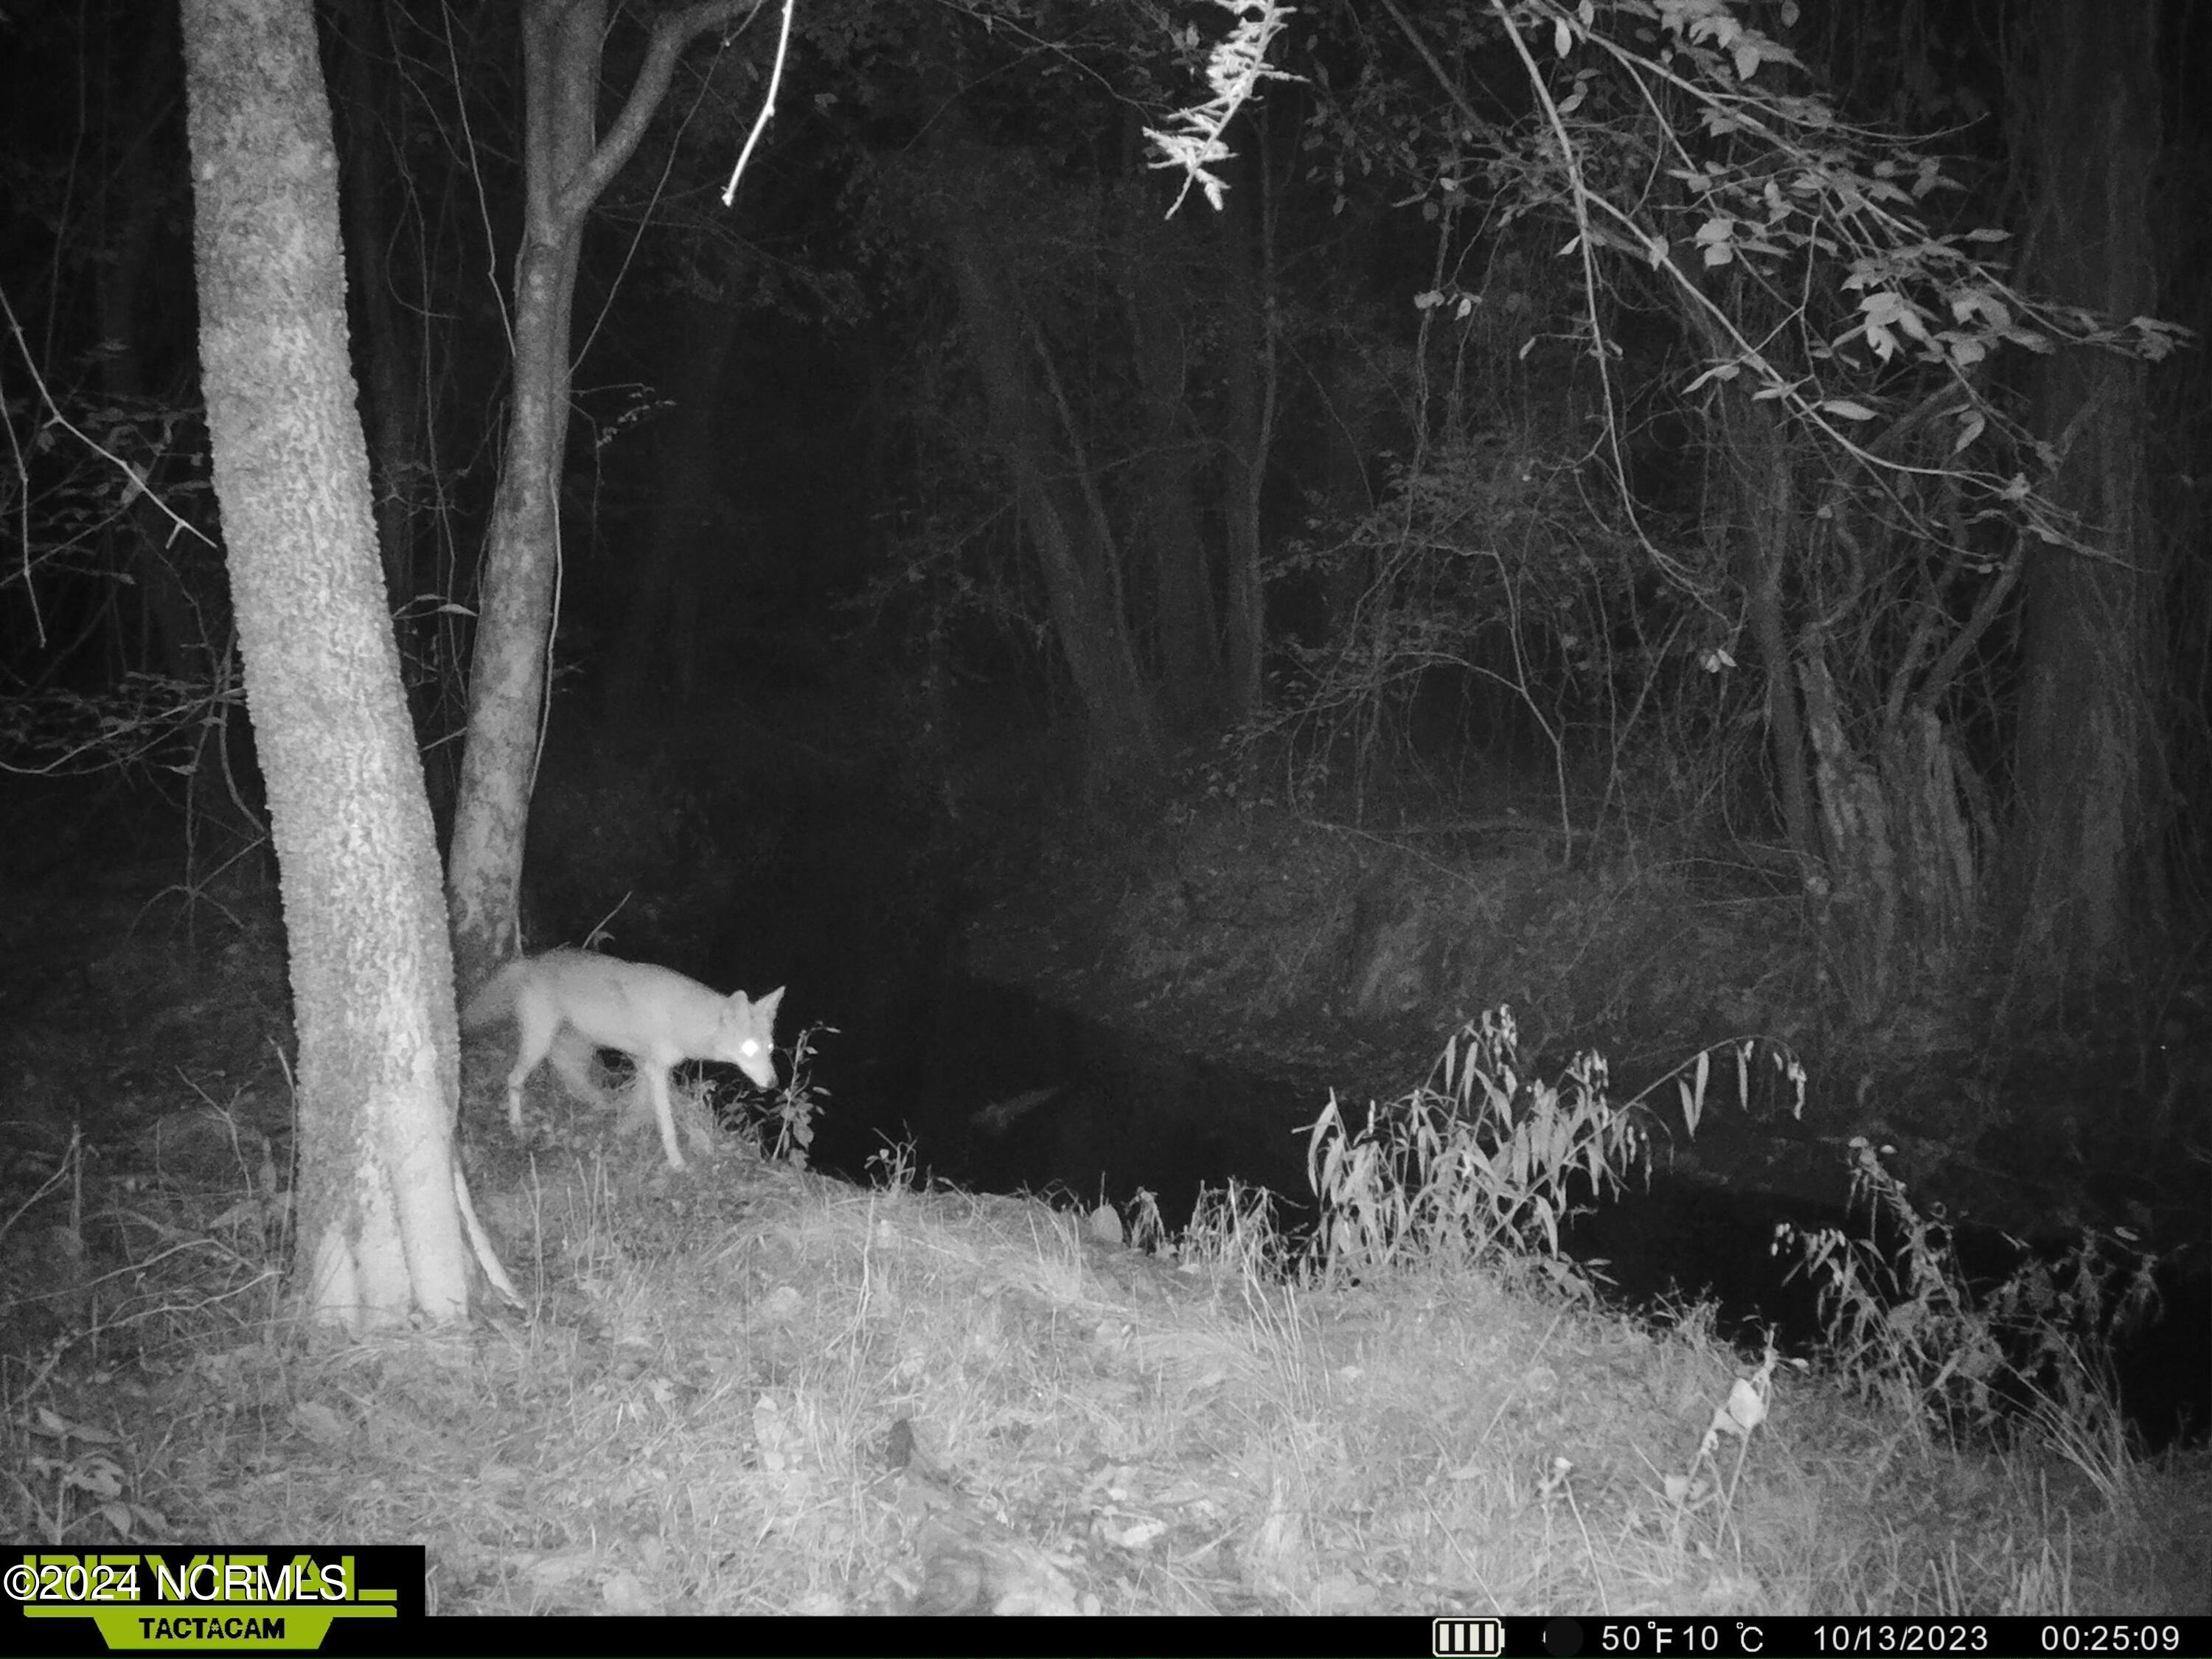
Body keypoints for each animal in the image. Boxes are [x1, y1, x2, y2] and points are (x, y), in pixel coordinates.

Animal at [462, 948, 784, 1171]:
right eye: (749, 1049)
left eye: (769, 1048)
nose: (772, 1083)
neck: (682, 1020)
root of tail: (532, 961)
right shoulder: (654, 1068)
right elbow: (666, 1123)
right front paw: (677, 1163)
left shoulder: (644, 1065)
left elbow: (638, 1105)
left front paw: (623, 1132)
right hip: (540, 1043)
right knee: (515, 1079)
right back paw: (517, 1128)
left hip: (577, 1045)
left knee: (569, 1075)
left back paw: (598, 1104)